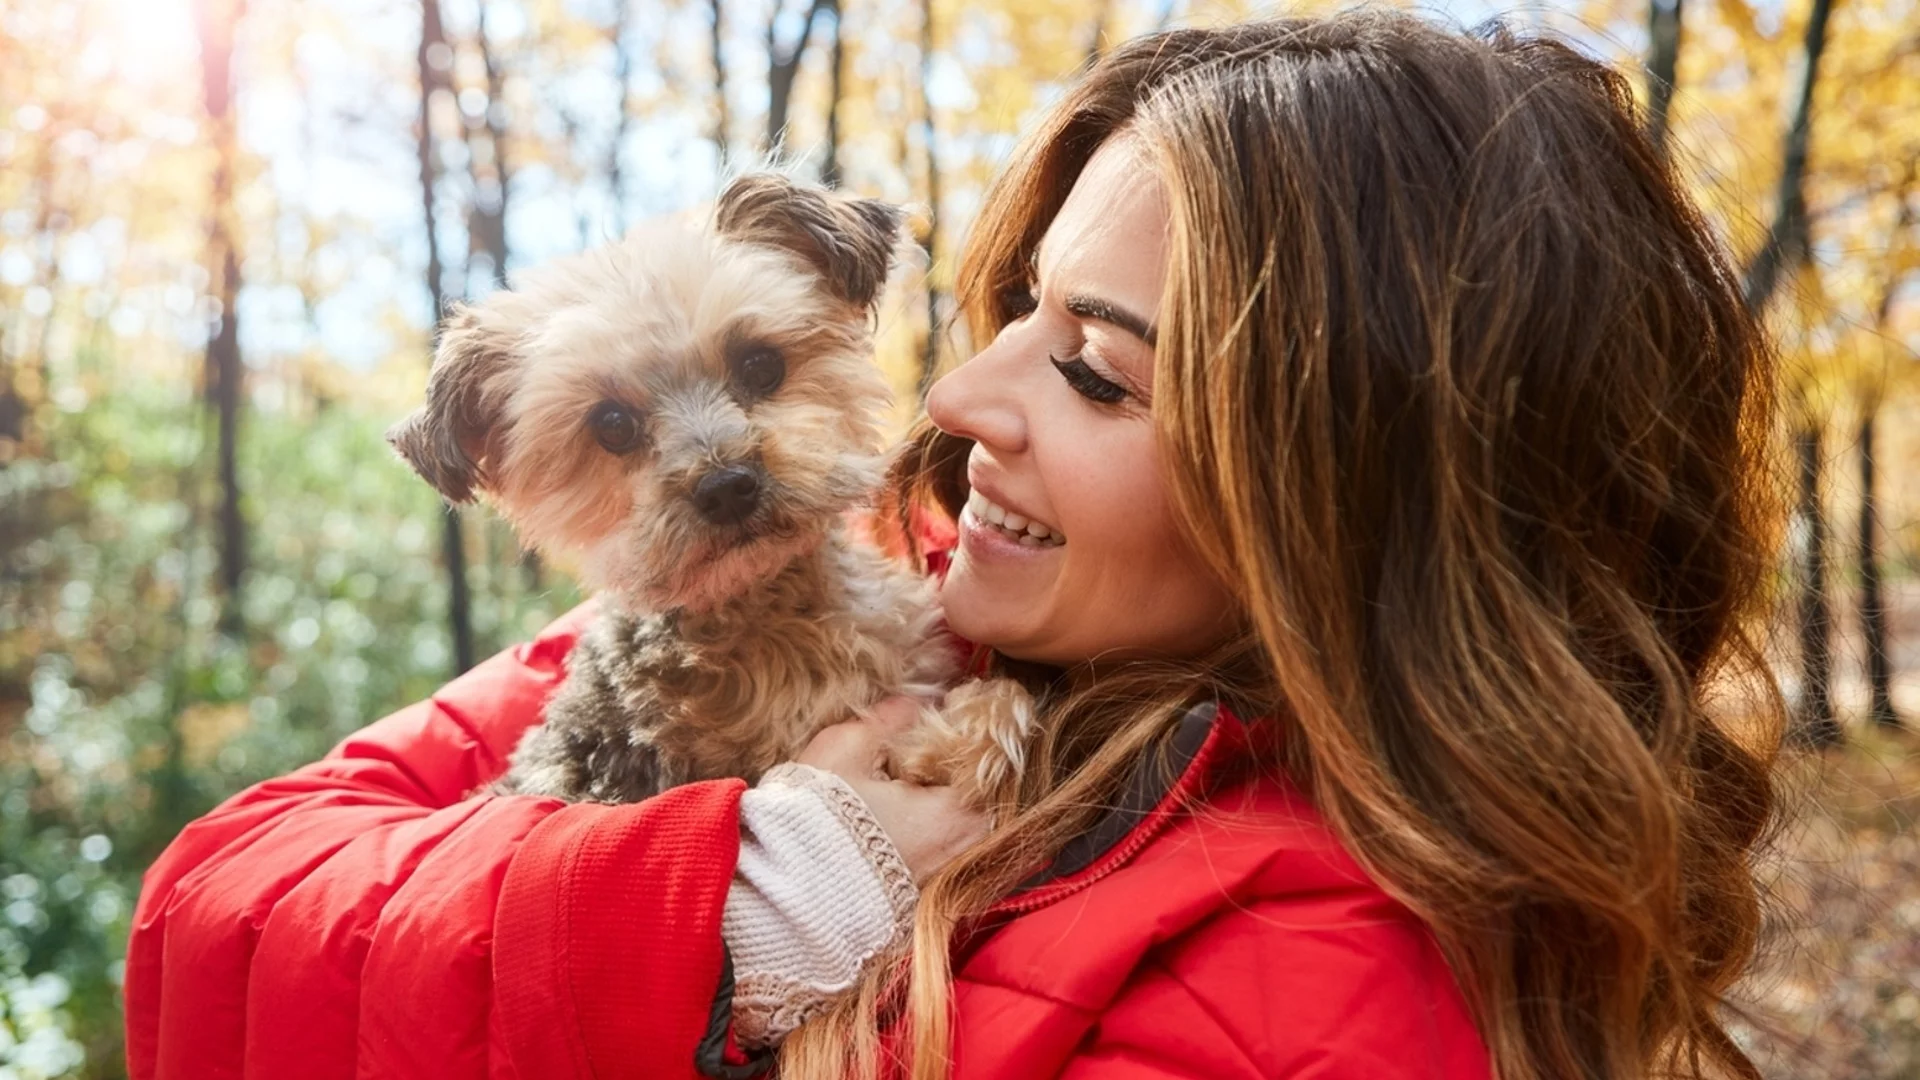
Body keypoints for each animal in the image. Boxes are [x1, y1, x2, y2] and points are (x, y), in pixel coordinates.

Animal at [387, 171, 1036, 803]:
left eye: (761, 365)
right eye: (611, 425)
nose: (726, 486)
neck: (769, 604)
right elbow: (968, 732)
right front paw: (964, 729)